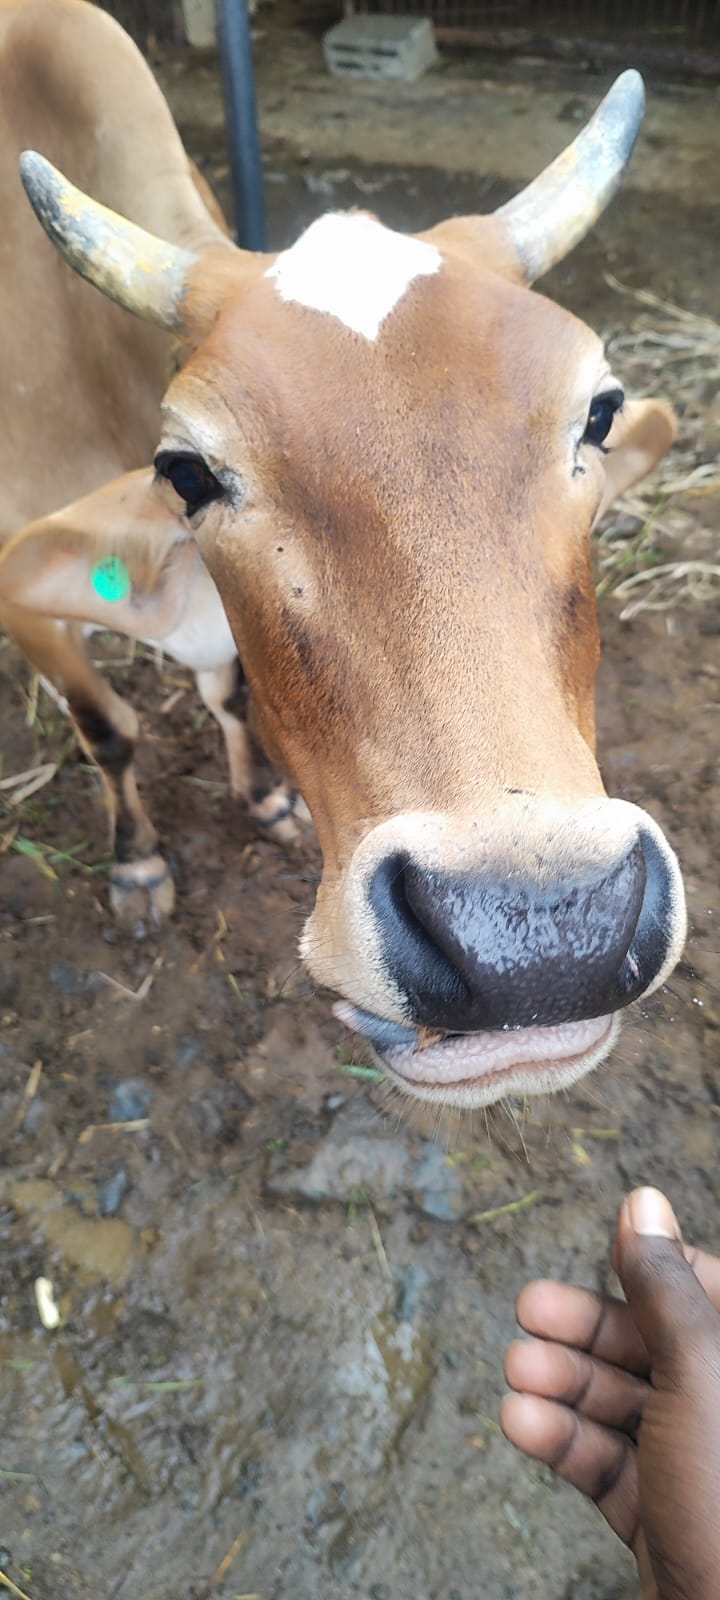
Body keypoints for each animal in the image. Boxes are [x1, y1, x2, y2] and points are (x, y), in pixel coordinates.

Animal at [0, 0, 686, 1109]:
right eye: (187, 470)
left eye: (600, 410)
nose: (541, 937)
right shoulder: (23, 595)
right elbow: (107, 728)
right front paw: (138, 864)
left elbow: (229, 692)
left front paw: (265, 796)